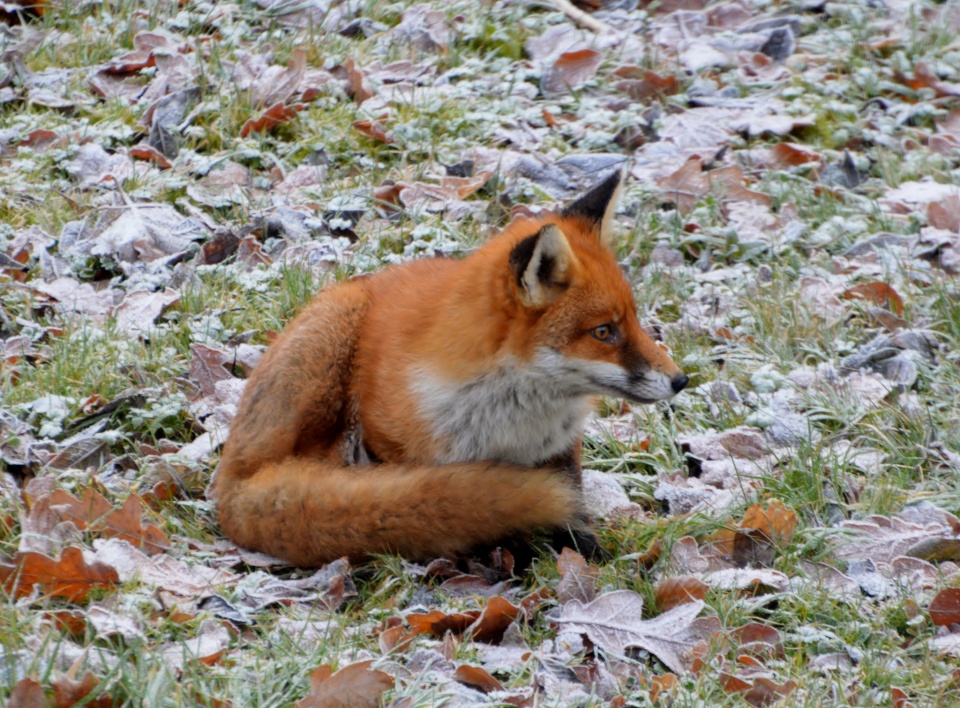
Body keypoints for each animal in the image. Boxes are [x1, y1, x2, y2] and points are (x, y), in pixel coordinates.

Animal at [214, 170, 688, 567]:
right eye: (604, 331)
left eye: (635, 321)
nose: (681, 380)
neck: (512, 423)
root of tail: (228, 489)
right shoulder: (392, 442)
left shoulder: (559, 450)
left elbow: (573, 509)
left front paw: (589, 555)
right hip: (330, 347)